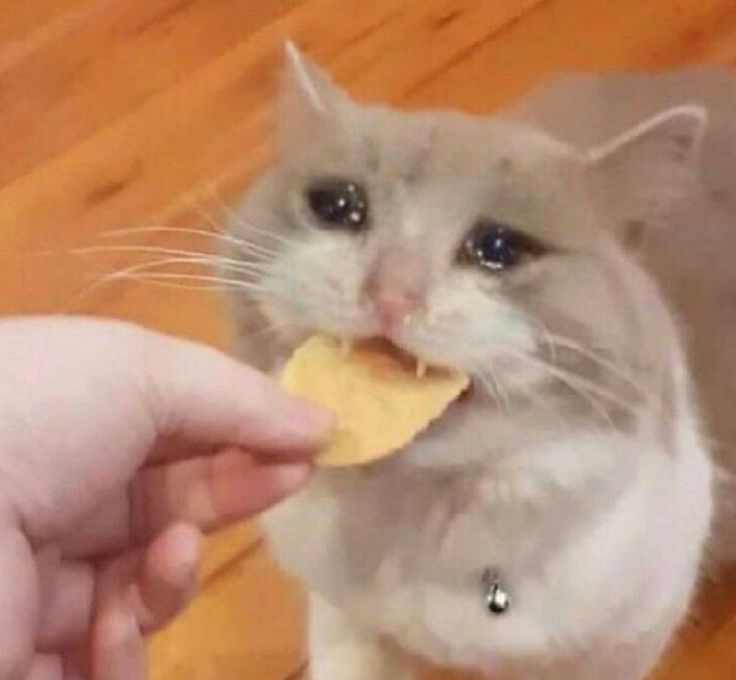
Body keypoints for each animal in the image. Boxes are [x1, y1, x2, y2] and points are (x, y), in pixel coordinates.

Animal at [226, 45, 720, 676]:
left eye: (499, 249)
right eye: (338, 205)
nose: (391, 292)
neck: (415, 528)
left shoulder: (627, 637)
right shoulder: (342, 618)